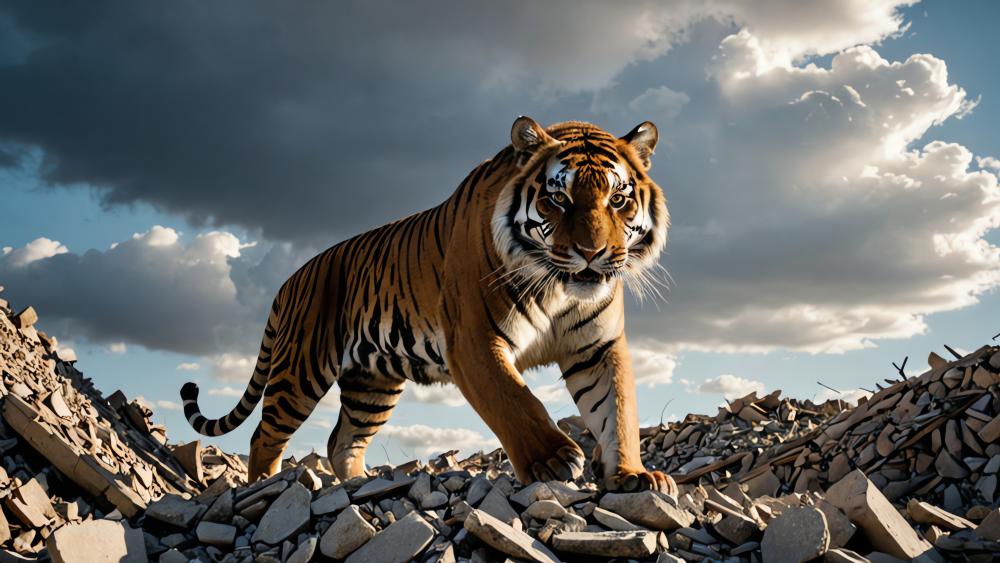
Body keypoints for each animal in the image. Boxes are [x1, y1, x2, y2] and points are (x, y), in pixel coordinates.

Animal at [181, 116, 675, 494]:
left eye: (618, 198)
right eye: (558, 198)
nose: (592, 253)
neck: (558, 290)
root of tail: (289, 281)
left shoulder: (598, 348)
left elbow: (618, 411)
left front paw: (633, 475)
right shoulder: (475, 341)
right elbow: (514, 400)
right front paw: (552, 461)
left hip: (371, 385)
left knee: (343, 441)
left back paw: (357, 485)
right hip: (300, 369)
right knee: (265, 436)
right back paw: (262, 487)